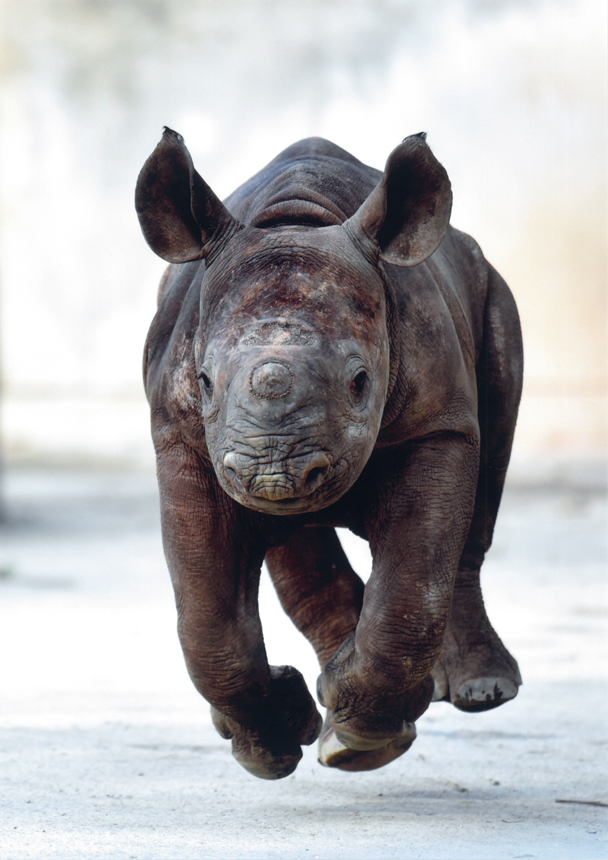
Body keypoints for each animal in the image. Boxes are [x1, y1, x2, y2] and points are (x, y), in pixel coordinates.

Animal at [135, 127, 520, 780]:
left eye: (361, 381)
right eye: (204, 381)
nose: (273, 471)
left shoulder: (436, 425)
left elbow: (413, 590)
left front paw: (366, 738)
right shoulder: (184, 438)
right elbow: (207, 618)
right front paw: (276, 748)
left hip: (493, 294)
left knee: (487, 473)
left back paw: (470, 694)